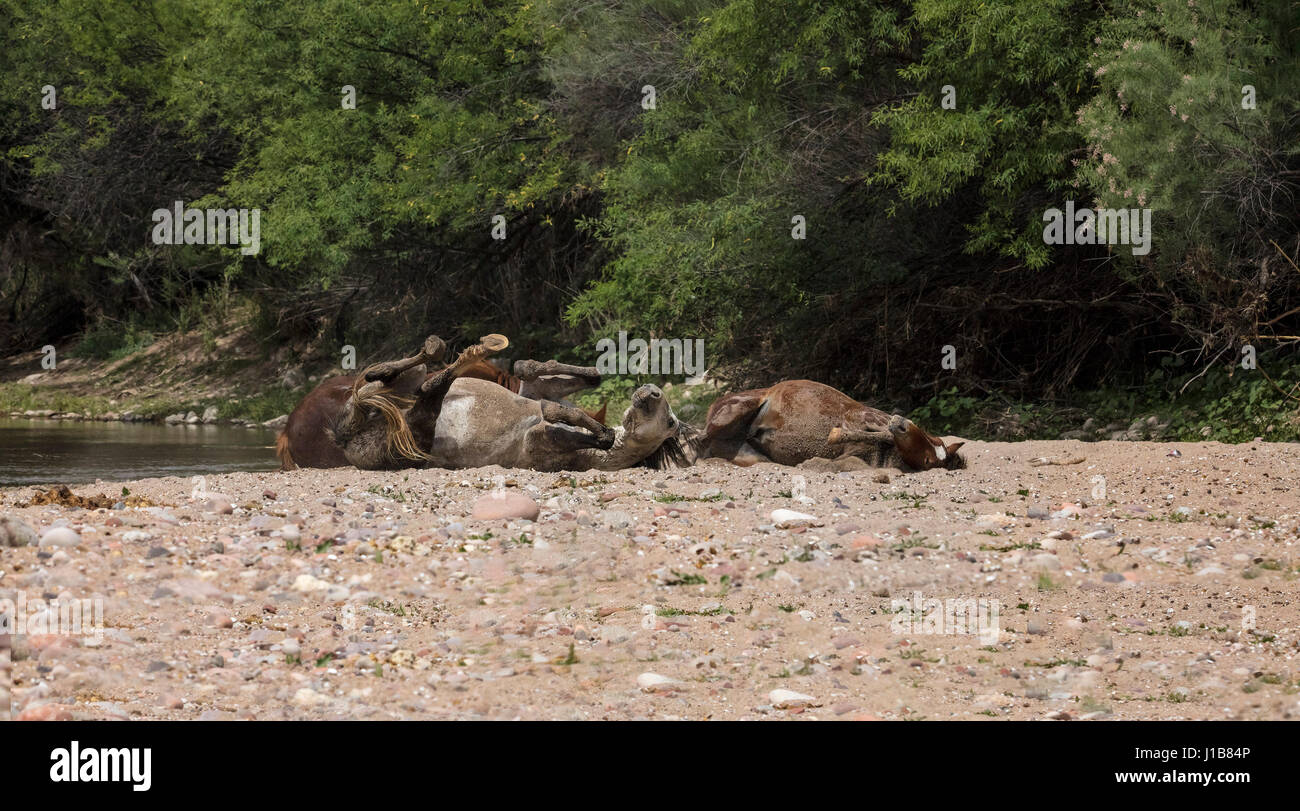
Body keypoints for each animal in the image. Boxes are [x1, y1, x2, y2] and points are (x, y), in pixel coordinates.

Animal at [702, 382, 967, 473]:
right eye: (932, 438)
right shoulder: (865, 416)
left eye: (928, 461)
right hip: (732, 412)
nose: (901, 423)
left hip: (750, 455)